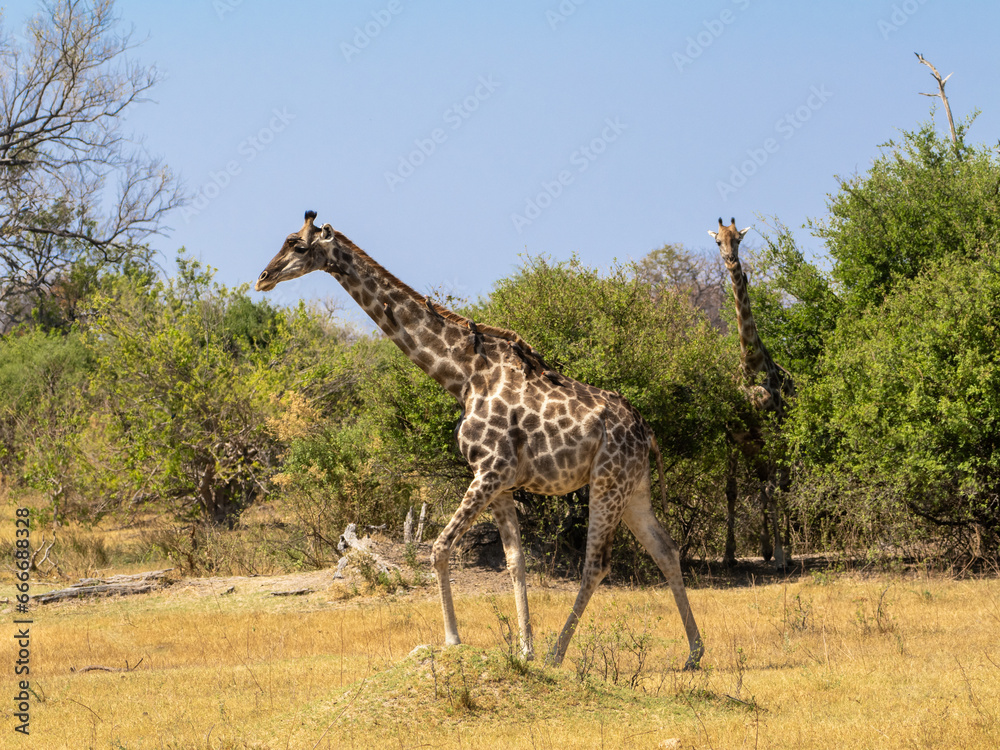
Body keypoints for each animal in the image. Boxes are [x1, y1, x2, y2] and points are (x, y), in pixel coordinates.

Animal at [255, 211, 704, 669]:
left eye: (298, 244)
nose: (263, 278)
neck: (463, 375)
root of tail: (647, 433)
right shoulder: (500, 482)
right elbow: (515, 562)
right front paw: (523, 649)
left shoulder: (490, 471)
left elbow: (439, 548)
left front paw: (454, 640)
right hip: (633, 490)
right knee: (666, 550)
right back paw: (693, 654)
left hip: (606, 483)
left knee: (596, 564)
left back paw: (558, 654)